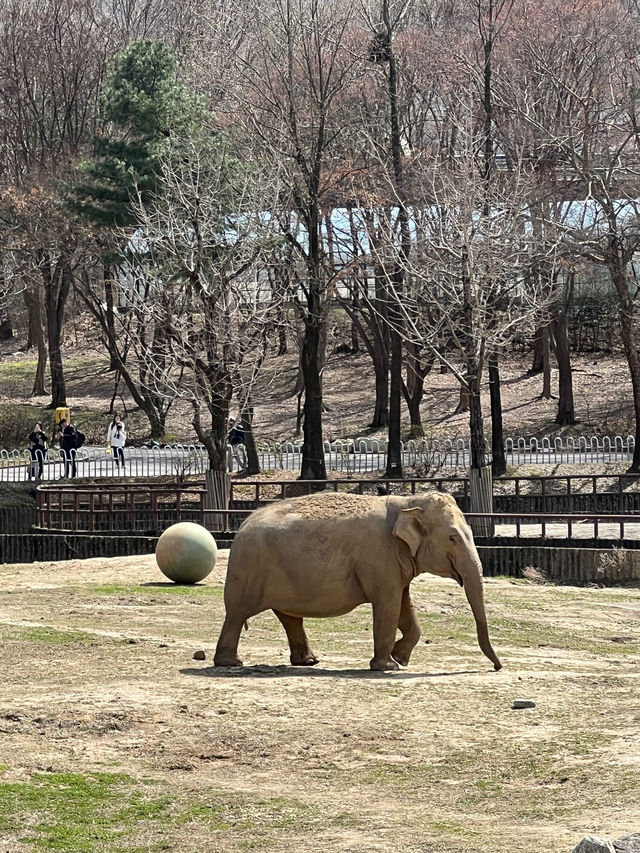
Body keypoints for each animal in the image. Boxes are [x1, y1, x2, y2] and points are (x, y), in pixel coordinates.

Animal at [212, 490, 502, 668]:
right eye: (452, 538)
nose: (497, 667)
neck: (407, 501)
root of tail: (240, 528)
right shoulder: (379, 558)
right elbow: (388, 604)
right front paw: (388, 666)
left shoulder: (396, 563)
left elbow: (404, 605)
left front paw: (400, 658)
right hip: (249, 569)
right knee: (237, 614)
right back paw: (231, 663)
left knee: (290, 617)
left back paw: (309, 662)